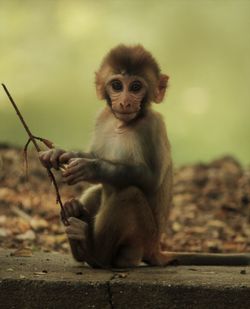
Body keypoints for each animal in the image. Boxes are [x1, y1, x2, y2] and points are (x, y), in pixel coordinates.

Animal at [39, 44, 250, 266]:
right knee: (96, 192)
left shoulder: (153, 126)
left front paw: (90, 167)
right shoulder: (102, 117)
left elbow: (150, 179)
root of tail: (154, 248)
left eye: (135, 87)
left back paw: (94, 251)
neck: (122, 125)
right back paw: (75, 224)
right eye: (117, 85)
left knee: (129, 194)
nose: (124, 103)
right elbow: (93, 153)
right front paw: (59, 154)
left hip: (141, 239)